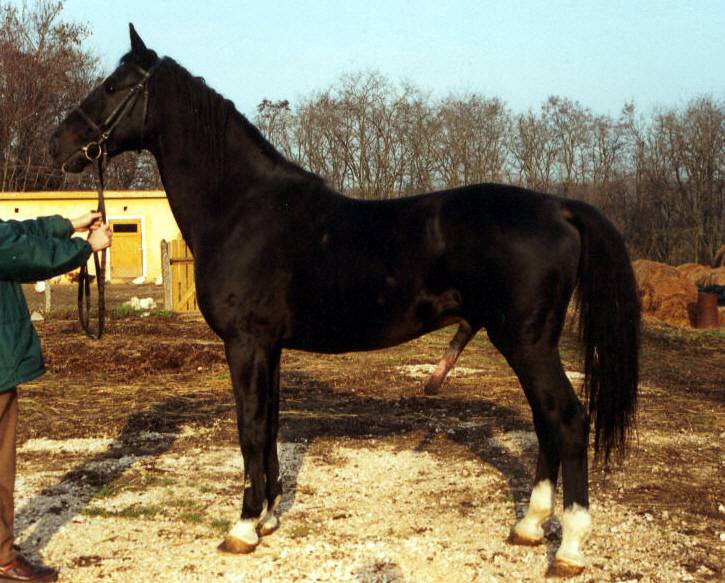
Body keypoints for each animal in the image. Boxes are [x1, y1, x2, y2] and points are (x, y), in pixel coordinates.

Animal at [50, 24, 640, 578]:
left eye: (114, 85)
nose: (58, 143)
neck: (244, 210)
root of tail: (558, 206)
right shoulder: (269, 348)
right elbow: (270, 425)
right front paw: (268, 517)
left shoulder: (245, 344)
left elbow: (250, 429)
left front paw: (242, 528)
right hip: (526, 345)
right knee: (546, 422)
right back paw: (529, 525)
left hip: (526, 343)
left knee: (567, 420)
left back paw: (569, 548)